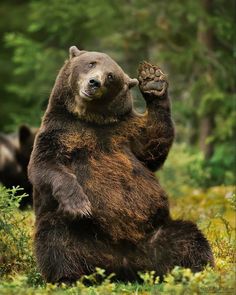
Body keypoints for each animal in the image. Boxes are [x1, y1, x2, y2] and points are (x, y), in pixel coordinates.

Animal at [27, 46, 214, 284]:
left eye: (110, 76)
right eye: (91, 63)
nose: (94, 82)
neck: (90, 117)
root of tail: (123, 266)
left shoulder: (126, 130)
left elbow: (152, 146)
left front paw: (153, 80)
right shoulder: (60, 131)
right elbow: (45, 165)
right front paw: (79, 204)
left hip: (155, 234)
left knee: (189, 238)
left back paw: (197, 271)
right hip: (75, 233)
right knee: (56, 241)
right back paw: (68, 278)